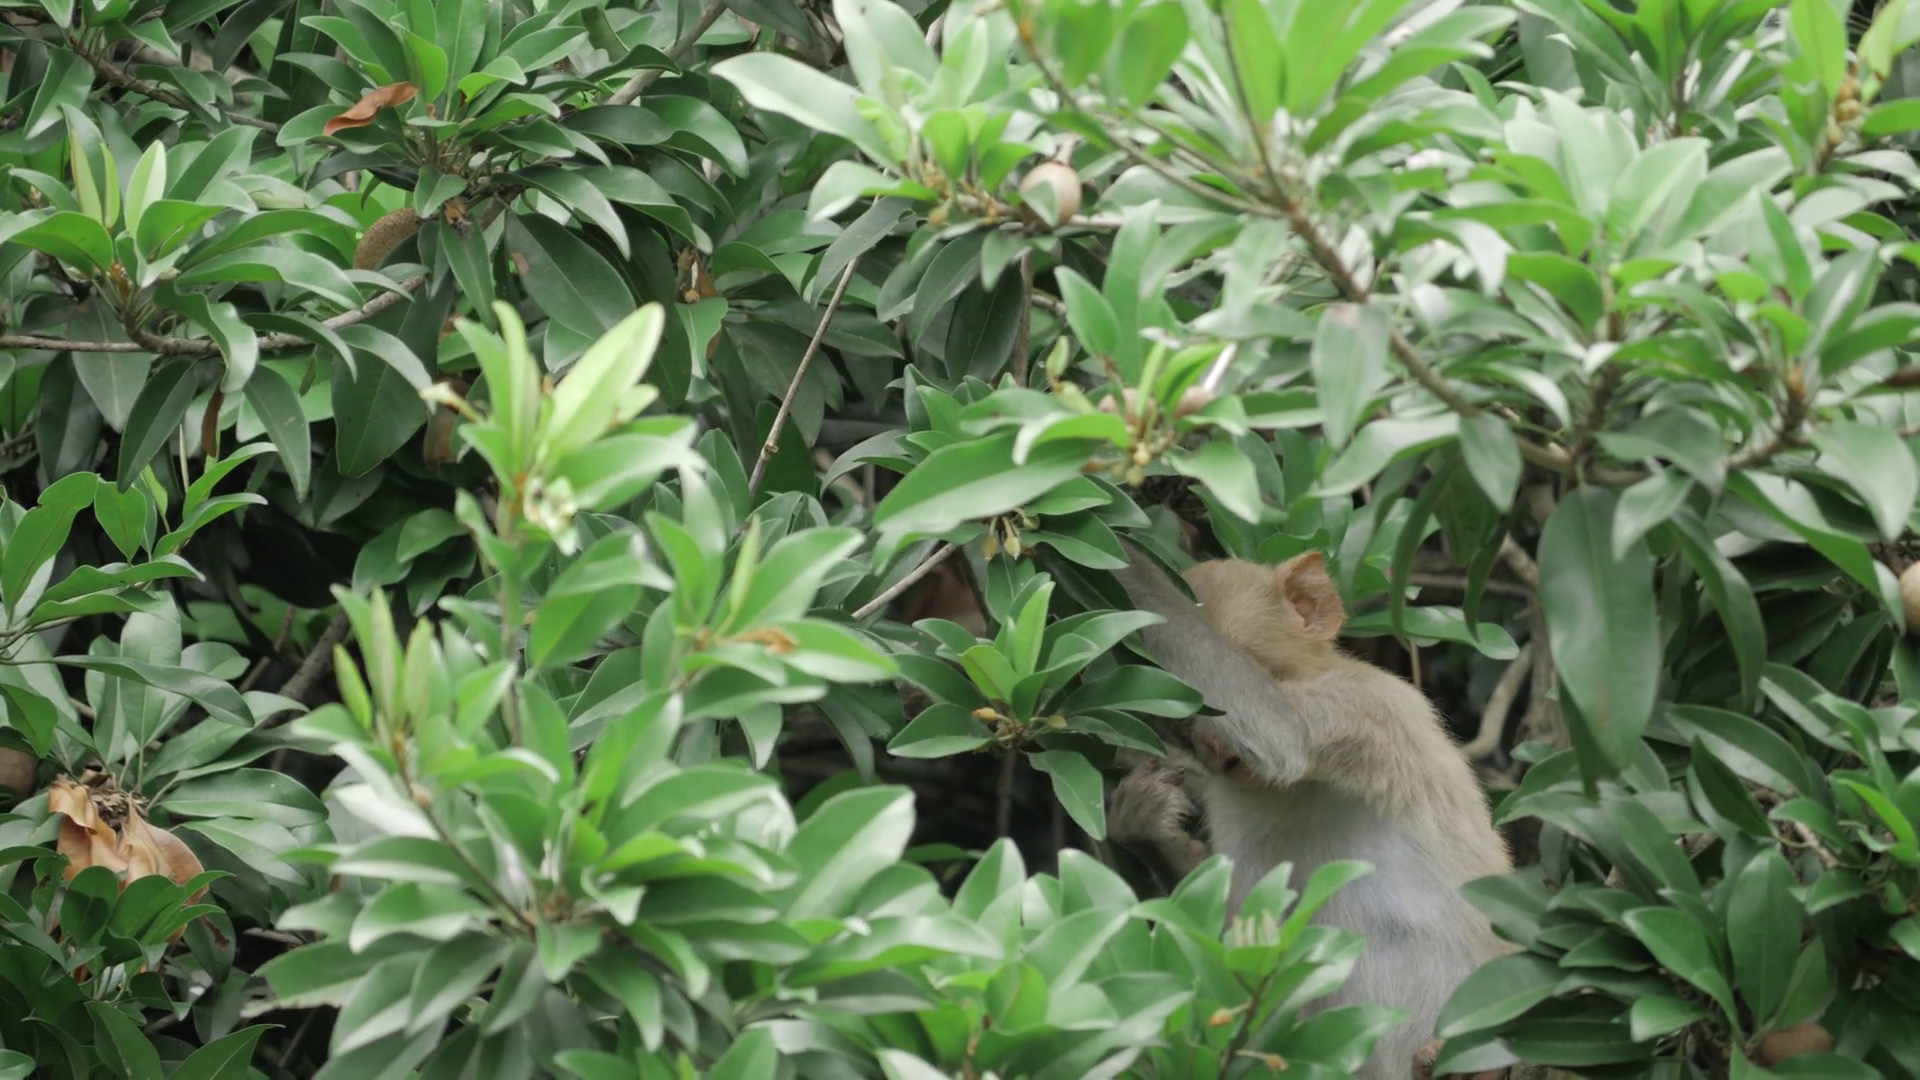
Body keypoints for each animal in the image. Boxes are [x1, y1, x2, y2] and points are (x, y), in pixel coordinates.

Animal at [1106, 547, 1514, 1080]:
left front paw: (1121, 556)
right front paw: (1151, 832)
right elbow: (1236, 963)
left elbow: (1285, 732)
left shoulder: (1364, 707)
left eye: (1247, 661)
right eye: (1187, 720)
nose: (1216, 748)